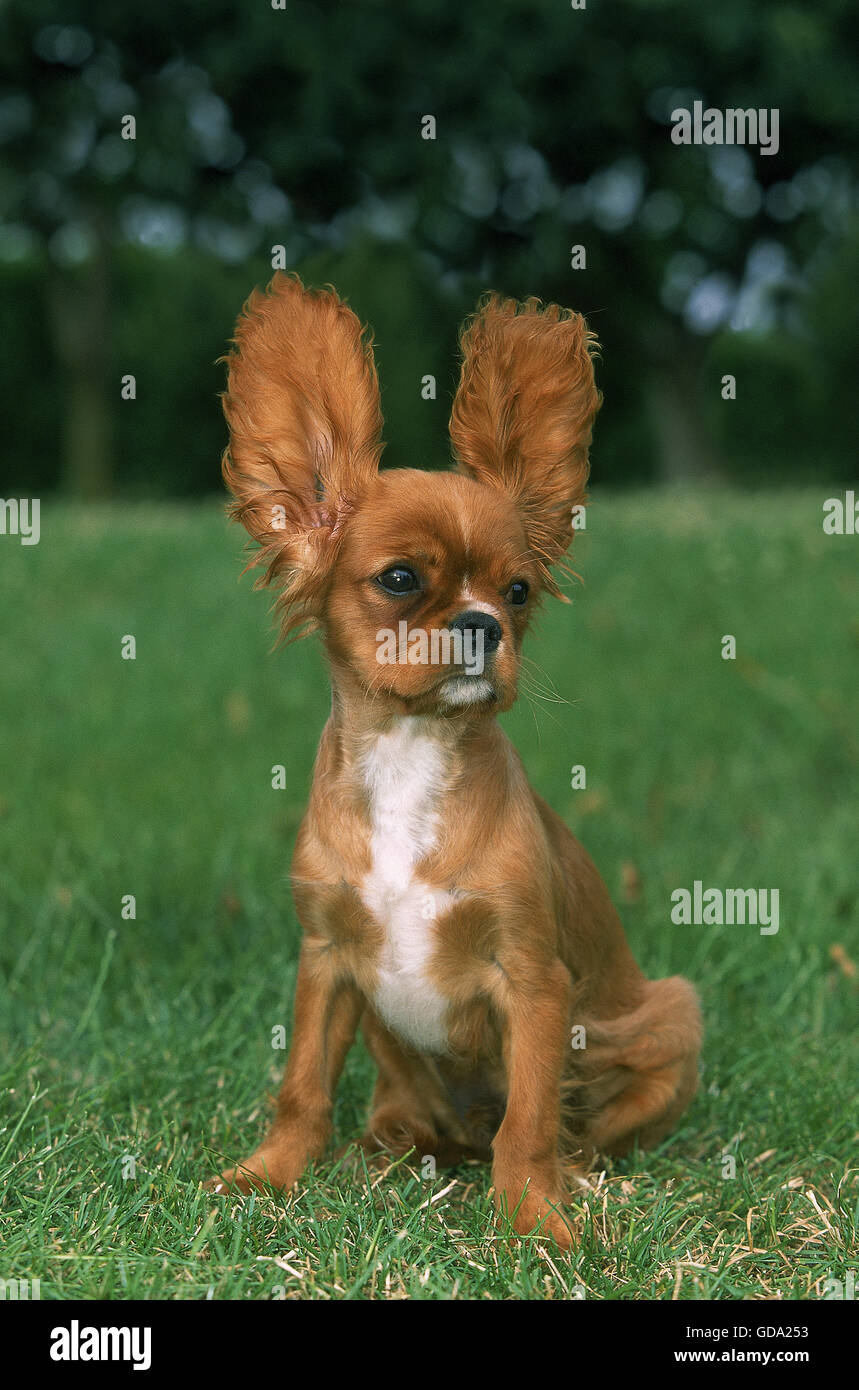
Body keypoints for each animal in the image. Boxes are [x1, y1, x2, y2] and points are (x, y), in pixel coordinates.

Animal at [211, 271, 697, 1251]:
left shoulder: (535, 981)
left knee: (573, 1123)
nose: (483, 626)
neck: (411, 757)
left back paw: (570, 1171)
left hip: (670, 1018)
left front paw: (534, 1216)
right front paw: (268, 1175)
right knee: (405, 1105)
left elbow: (531, 1118)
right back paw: (395, 1143)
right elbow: (302, 1088)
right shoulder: (326, 960)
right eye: (401, 579)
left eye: (517, 592)